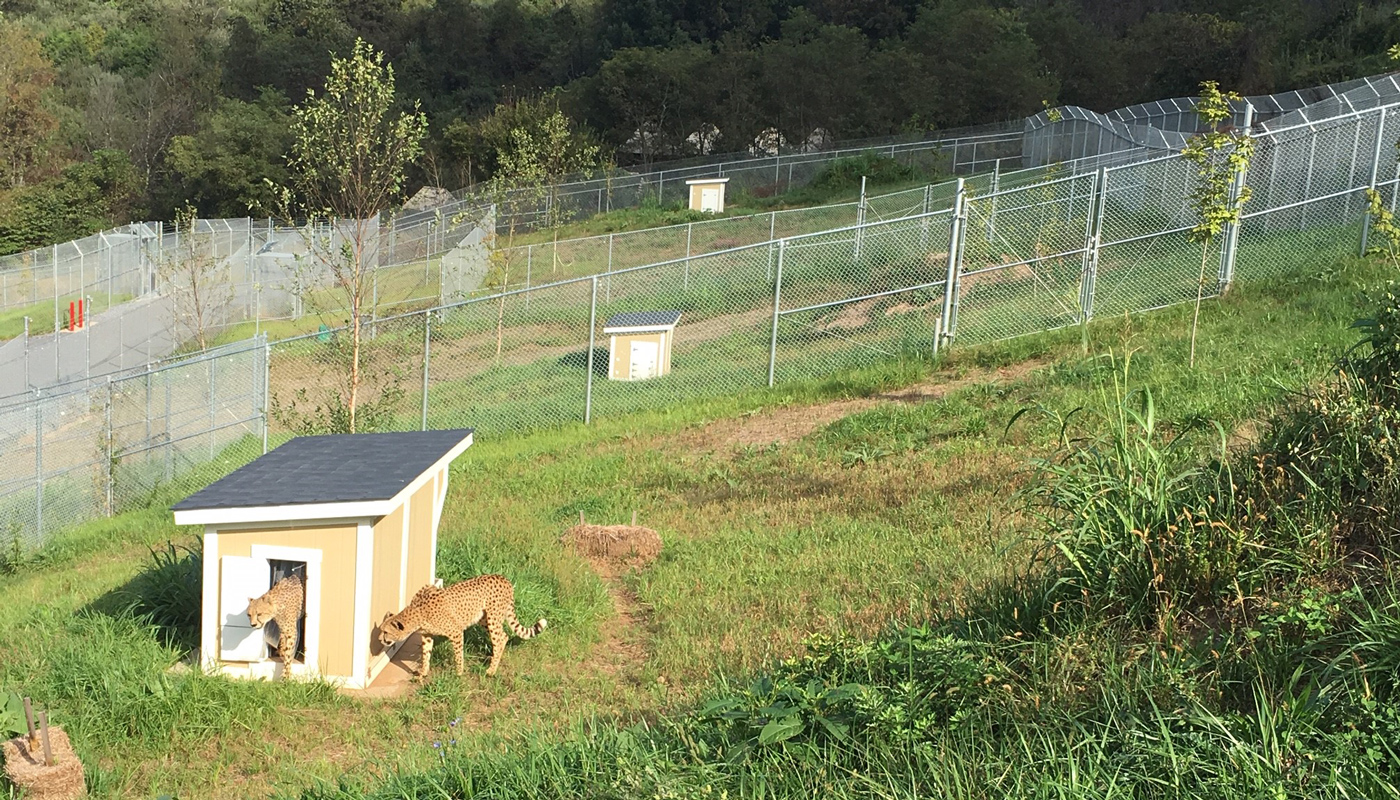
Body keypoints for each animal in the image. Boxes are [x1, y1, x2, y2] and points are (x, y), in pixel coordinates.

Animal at [378, 571, 546, 678]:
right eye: (381, 630)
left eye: (386, 632)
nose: (379, 639)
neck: (417, 614)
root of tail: (503, 578)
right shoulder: (427, 634)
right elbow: (426, 654)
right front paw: (423, 673)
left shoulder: (456, 632)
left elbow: (458, 654)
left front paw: (458, 673)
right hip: (483, 618)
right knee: (503, 636)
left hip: (493, 618)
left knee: (500, 638)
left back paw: (491, 670)